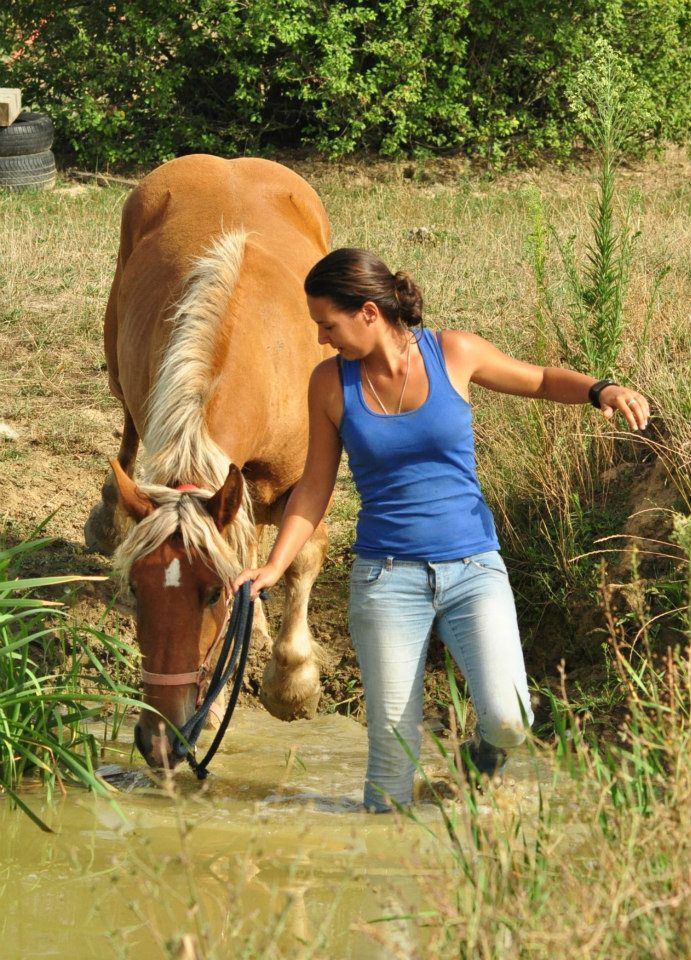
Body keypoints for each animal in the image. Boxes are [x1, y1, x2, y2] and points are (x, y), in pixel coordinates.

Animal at [84, 154, 332, 768]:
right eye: (135, 590)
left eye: (212, 594)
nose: (159, 739)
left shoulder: (302, 479)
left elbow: (298, 558)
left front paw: (291, 684)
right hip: (119, 371)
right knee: (126, 431)